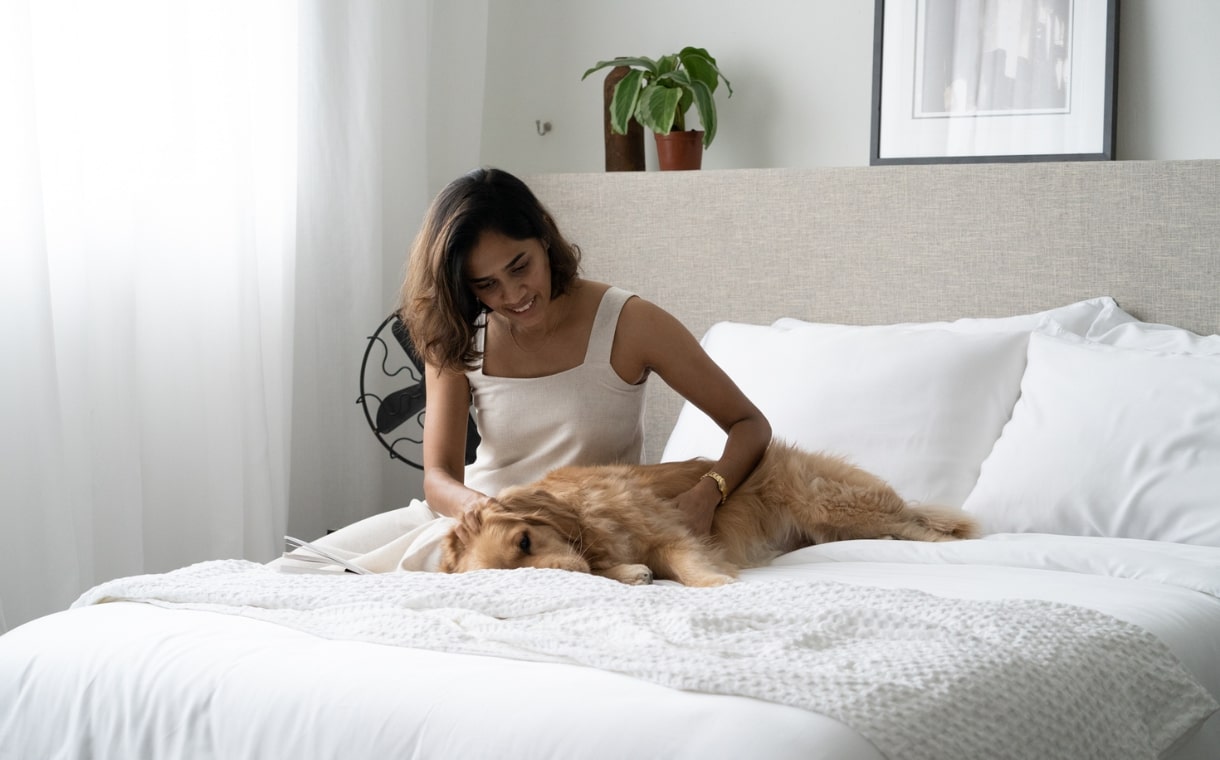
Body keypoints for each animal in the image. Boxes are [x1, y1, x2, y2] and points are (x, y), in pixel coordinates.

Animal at [444, 439, 976, 587]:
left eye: (526, 541)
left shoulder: (672, 532)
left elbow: (688, 567)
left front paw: (716, 583)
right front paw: (627, 572)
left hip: (830, 502)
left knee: (917, 526)